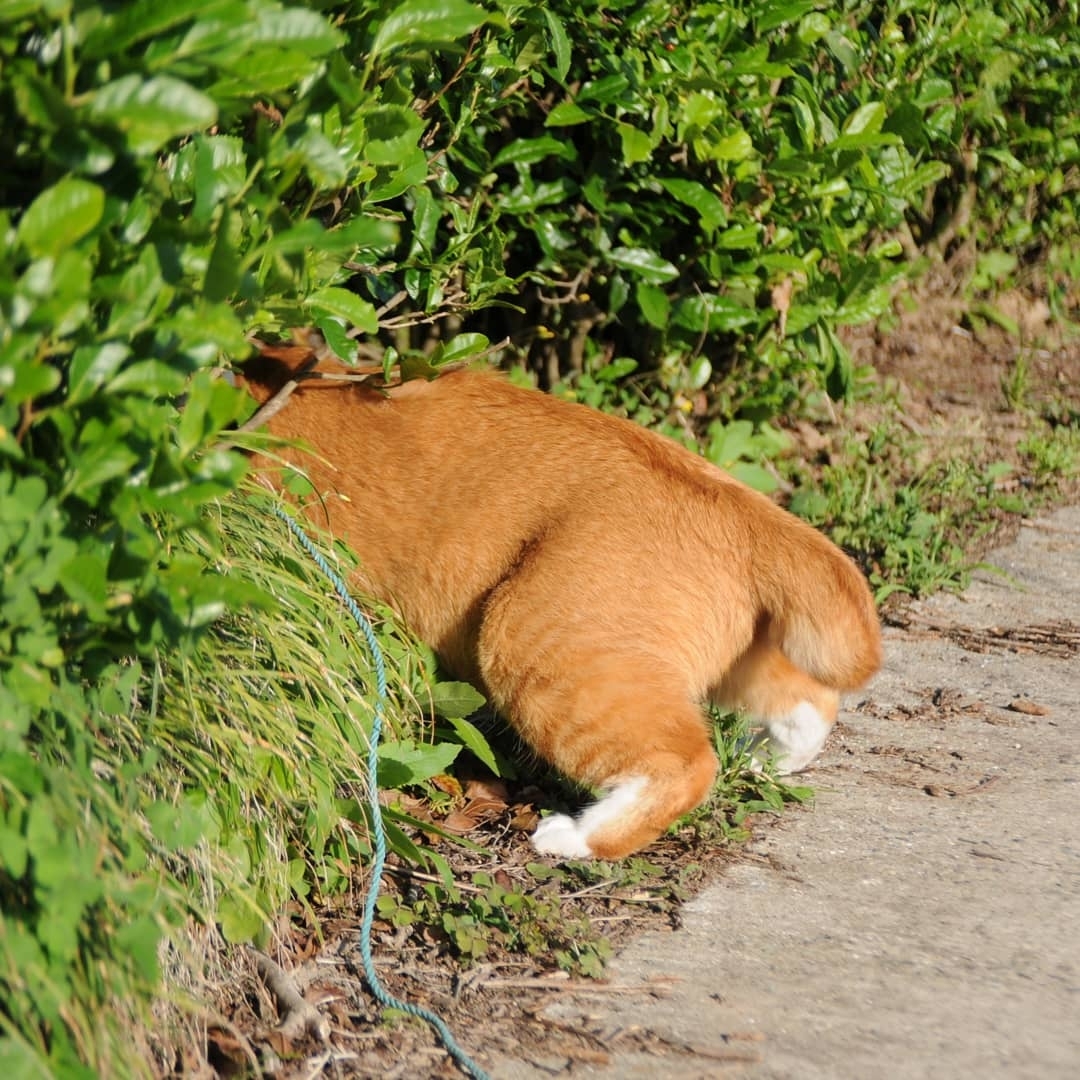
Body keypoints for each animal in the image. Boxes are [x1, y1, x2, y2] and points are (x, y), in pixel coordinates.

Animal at [240, 349, 881, 855]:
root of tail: (739, 503)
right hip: (716, 664)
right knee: (808, 700)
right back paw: (769, 762)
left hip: (529, 643)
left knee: (688, 764)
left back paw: (572, 838)